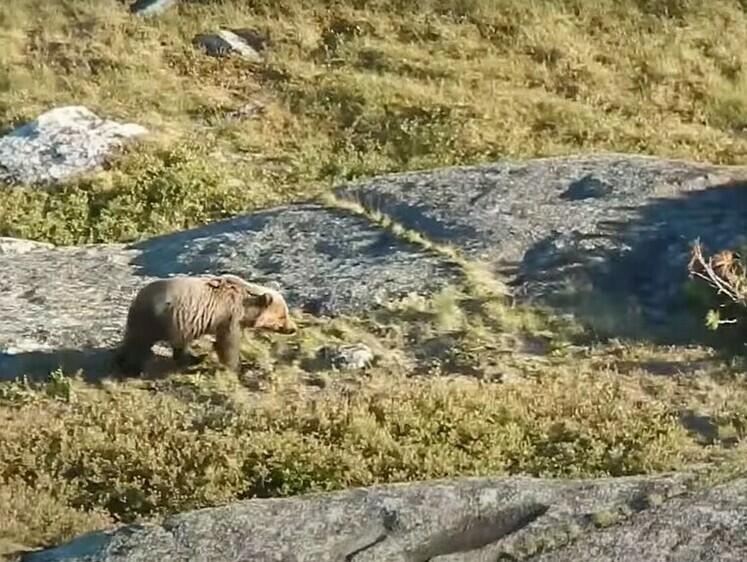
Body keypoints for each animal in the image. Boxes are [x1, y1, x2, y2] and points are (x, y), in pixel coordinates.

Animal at [114, 274, 296, 374]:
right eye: (283, 315)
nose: (293, 328)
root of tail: (137, 298)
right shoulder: (229, 315)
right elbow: (228, 343)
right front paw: (235, 367)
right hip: (155, 318)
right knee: (139, 343)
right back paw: (133, 367)